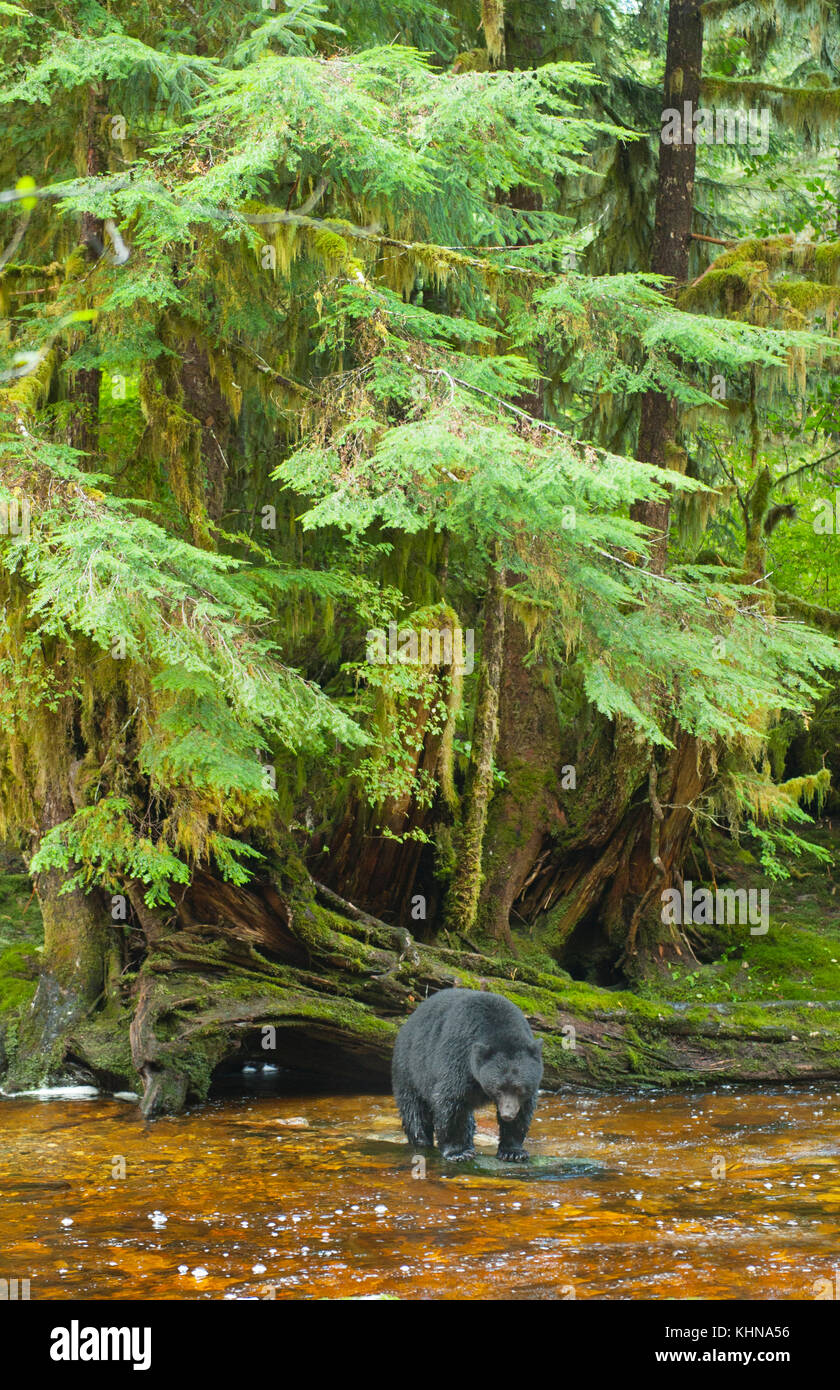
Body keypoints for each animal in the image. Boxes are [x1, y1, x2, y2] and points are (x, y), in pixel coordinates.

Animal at [389, 989, 542, 1162]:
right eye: (498, 1089)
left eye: (519, 1089)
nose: (507, 1115)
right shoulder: (459, 1055)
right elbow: (450, 1101)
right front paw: (457, 1152)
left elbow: (524, 1111)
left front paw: (513, 1151)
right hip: (409, 1068)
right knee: (414, 1108)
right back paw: (421, 1140)